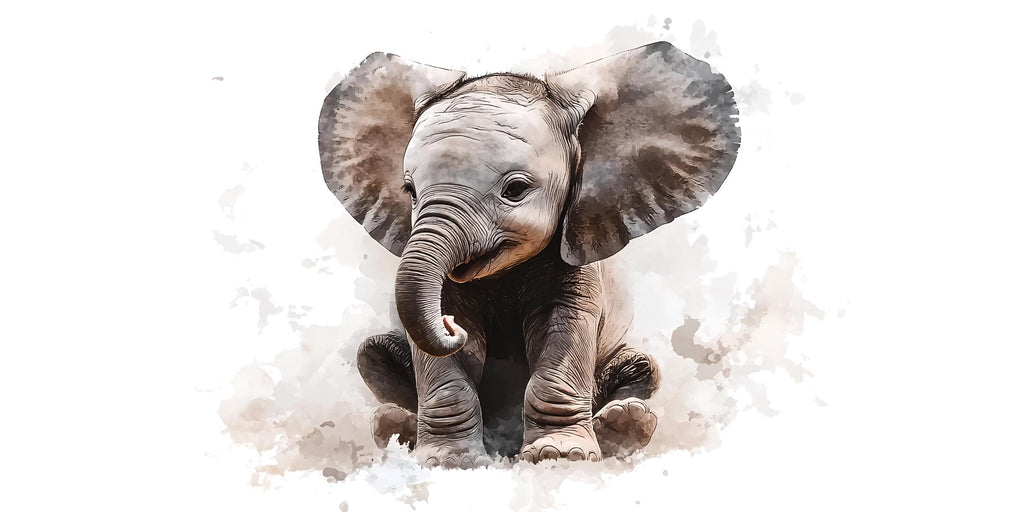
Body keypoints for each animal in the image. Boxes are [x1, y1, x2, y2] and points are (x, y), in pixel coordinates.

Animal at [318, 42, 740, 467]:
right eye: (410, 192)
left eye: (515, 190)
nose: (451, 327)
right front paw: (450, 462)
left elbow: (564, 324)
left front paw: (561, 455)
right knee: (372, 353)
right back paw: (395, 425)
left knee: (645, 369)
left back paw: (623, 425)